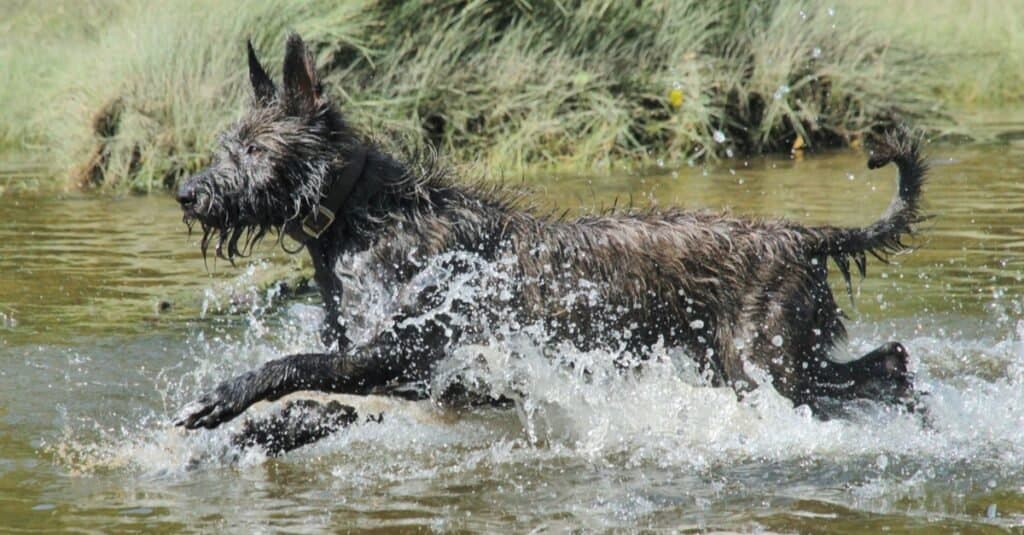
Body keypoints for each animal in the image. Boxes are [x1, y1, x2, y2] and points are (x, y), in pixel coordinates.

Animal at [174, 33, 929, 448]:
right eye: (227, 145)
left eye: (252, 149)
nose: (187, 191)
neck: (363, 217)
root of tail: (806, 235)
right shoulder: (417, 378)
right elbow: (322, 403)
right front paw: (259, 436)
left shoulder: (401, 351)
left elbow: (296, 366)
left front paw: (228, 398)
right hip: (763, 362)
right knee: (888, 363)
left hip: (764, 365)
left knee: (870, 372)